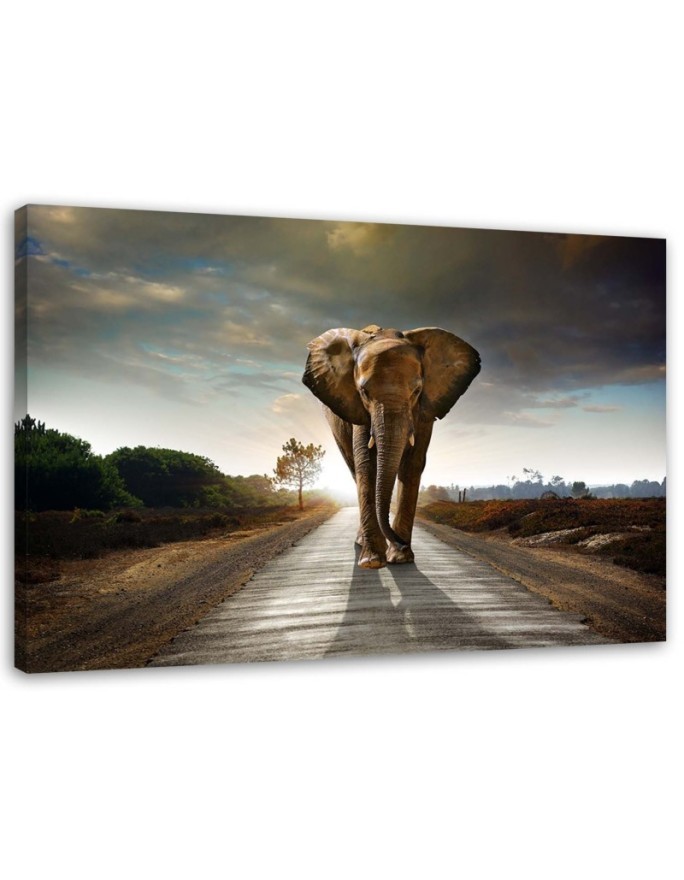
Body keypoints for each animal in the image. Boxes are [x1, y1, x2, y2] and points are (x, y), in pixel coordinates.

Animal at [302, 324, 480, 568]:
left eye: (416, 391)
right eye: (364, 392)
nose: (402, 543)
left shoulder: (425, 410)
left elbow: (413, 464)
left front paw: (401, 558)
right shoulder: (358, 409)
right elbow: (367, 464)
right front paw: (372, 561)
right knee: (354, 469)